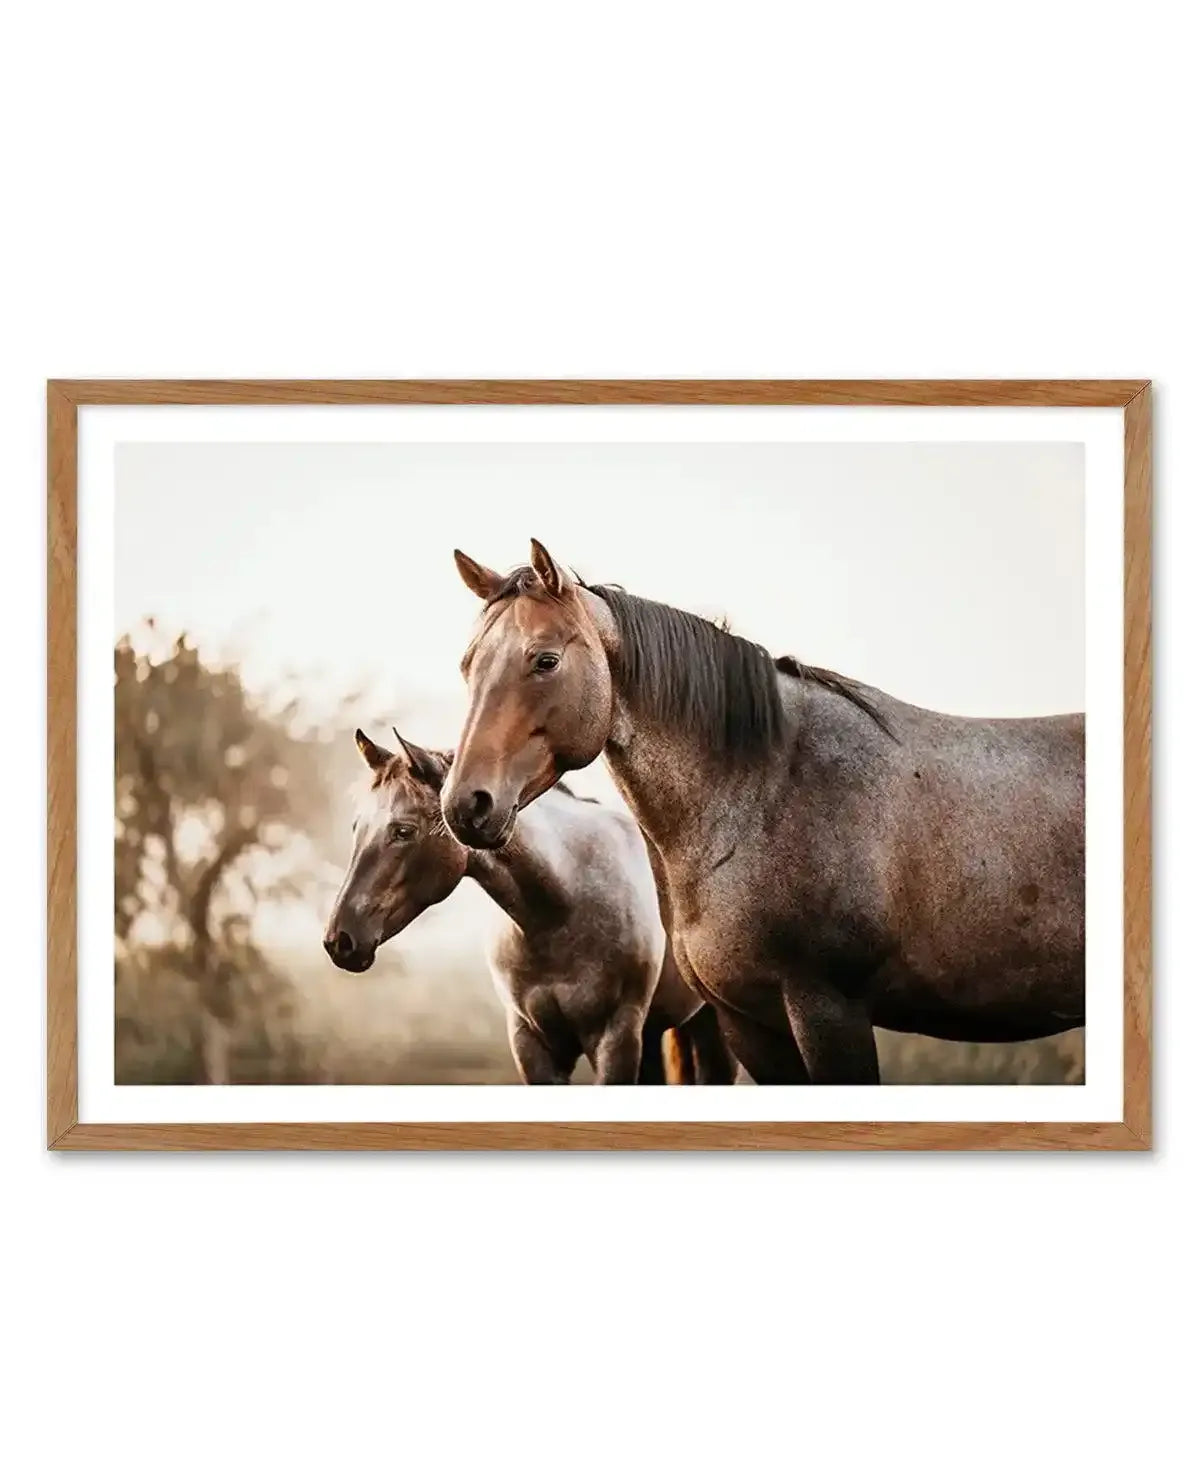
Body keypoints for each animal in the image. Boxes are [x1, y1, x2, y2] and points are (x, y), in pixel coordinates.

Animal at [323, 727, 735, 1085]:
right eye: (357, 827)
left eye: (403, 831)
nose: (339, 940)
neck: (561, 911)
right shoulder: (531, 1043)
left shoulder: (615, 1038)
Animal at [441, 539, 1085, 1085]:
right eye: (467, 665)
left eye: (545, 661)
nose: (466, 804)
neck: (764, 792)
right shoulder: (748, 1021)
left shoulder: (830, 1011)